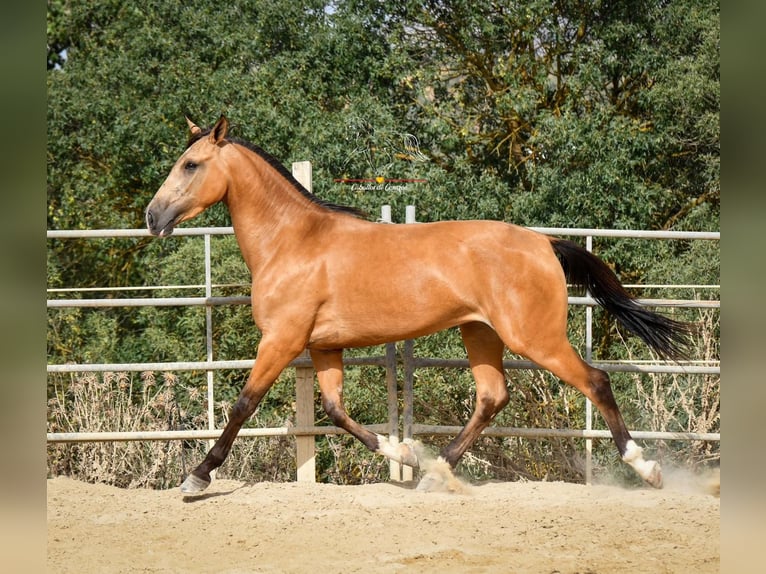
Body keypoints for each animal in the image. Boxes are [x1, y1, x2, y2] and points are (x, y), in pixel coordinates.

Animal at [147, 116, 692, 496]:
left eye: (191, 165)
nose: (153, 217)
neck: (294, 242)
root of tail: (542, 242)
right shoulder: (323, 347)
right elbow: (334, 410)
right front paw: (405, 453)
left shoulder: (281, 340)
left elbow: (244, 404)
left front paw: (196, 477)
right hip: (480, 333)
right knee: (492, 396)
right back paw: (436, 471)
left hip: (534, 337)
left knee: (595, 381)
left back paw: (647, 468)